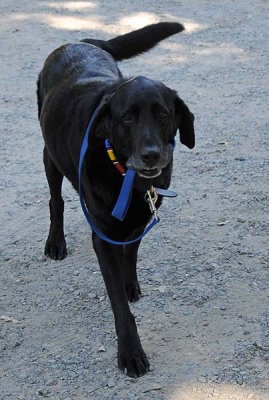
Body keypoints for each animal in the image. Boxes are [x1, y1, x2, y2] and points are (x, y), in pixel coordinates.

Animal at [36, 22, 194, 378]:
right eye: (127, 118)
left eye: (163, 114)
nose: (152, 155)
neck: (128, 179)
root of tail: (80, 41)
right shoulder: (103, 237)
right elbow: (119, 306)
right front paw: (131, 353)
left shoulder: (139, 221)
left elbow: (130, 256)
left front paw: (129, 283)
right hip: (50, 156)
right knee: (55, 201)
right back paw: (55, 242)